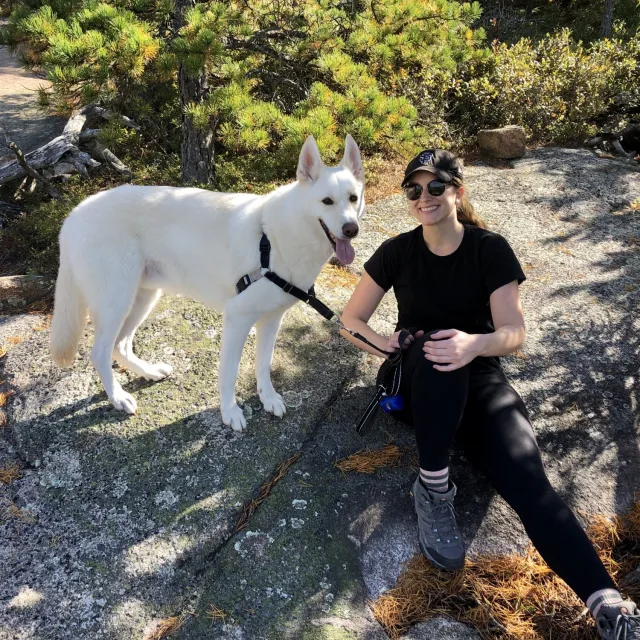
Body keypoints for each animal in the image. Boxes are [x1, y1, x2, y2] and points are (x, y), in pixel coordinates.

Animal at [50, 134, 364, 430]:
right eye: (326, 201)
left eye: (353, 198)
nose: (352, 229)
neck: (277, 238)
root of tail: (73, 215)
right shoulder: (237, 318)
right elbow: (229, 373)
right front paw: (230, 412)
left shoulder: (271, 320)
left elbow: (263, 364)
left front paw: (268, 398)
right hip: (117, 302)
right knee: (100, 353)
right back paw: (118, 397)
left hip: (142, 298)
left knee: (121, 345)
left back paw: (148, 372)